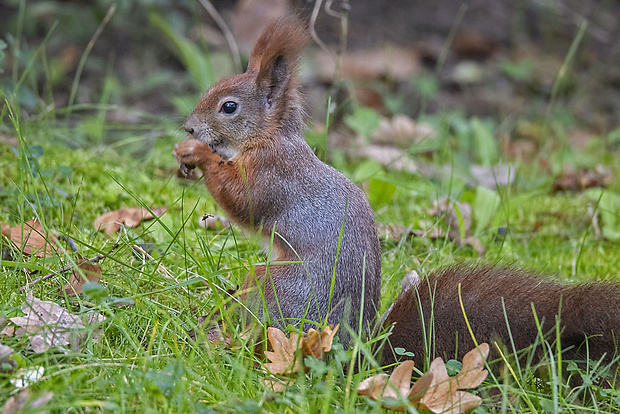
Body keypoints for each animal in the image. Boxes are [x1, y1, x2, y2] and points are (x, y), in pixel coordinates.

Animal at [176, 17, 620, 362]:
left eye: (229, 106)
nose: (189, 127)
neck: (268, 139)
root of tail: (348, 349)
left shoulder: (274, 175)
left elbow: (244, 201)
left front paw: (196, 154)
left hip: (275, 288)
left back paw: (214, 336)